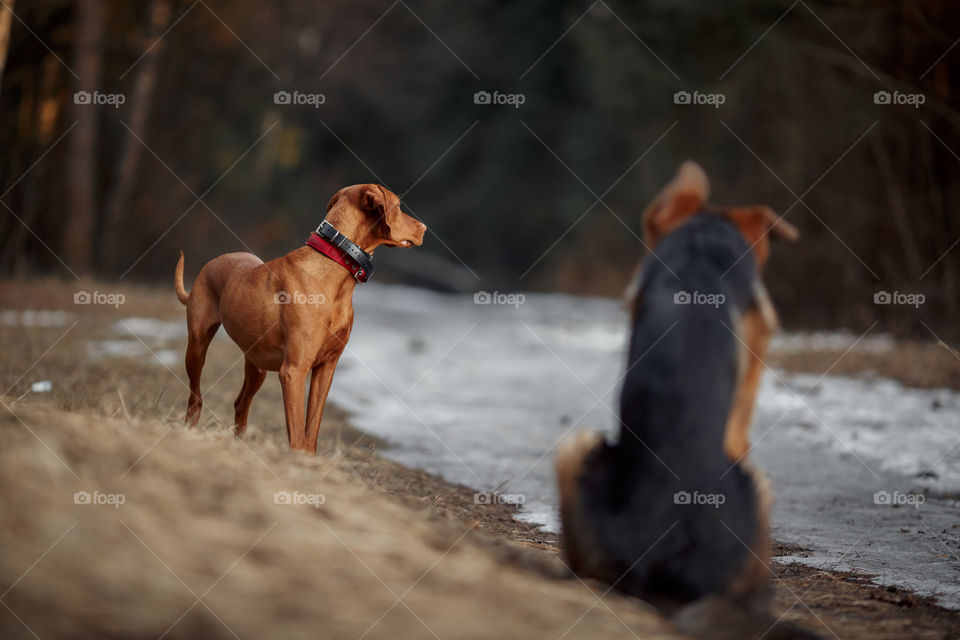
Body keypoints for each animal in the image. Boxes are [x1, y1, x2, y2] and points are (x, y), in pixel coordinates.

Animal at [173, 182, 428, 452]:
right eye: (398, 206)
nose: (424, 228)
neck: (335, 273)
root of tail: (212, 262)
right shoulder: (293, 371)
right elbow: (297, 436)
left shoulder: (326, 369)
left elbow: (311, 431)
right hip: (197, 347)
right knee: (196, 397)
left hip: (257, 366)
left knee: (240, 404)